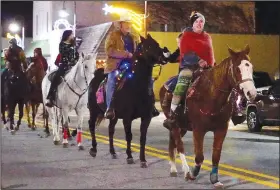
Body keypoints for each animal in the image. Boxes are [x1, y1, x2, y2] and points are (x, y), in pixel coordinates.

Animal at [88, 34, 165, 168]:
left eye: (157, 43)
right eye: (148, 46)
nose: (164, 57)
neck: (136, 86)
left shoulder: (146, 117)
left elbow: (142, 138)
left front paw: (143, 160)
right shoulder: (127, 118)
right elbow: (129, 136)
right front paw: (129, 157)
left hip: (113, 116)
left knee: (111, 130)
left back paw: (112, 152)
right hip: (93, 111)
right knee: (91, 126)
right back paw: (93, 149)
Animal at [159, 45, 258, 189]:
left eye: (250, 67)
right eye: (237, 68)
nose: (252, 93)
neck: (210, 95)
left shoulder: (221, 129)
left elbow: (216, 156)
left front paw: (214, 179)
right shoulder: (198, 130)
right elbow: (199, 156)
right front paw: (193, 174)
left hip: (182, 126)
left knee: (173, 142)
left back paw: (173, 168)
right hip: (175, 124)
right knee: (179, 144)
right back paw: (186, 171)